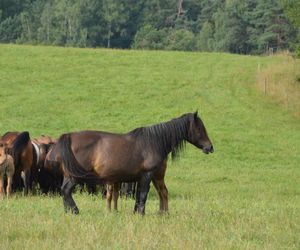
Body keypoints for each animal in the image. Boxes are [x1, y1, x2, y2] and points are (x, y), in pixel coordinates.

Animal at [55, 112, 212, 215]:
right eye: (200, 129)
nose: (210, 147)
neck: (153, 142)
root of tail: (69, 136)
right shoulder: (147, 175)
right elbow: (143, 194)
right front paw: (140, 213)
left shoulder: (150, 176)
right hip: (75, 176)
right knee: (66, 190)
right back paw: (74, 211)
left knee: (64, 190)